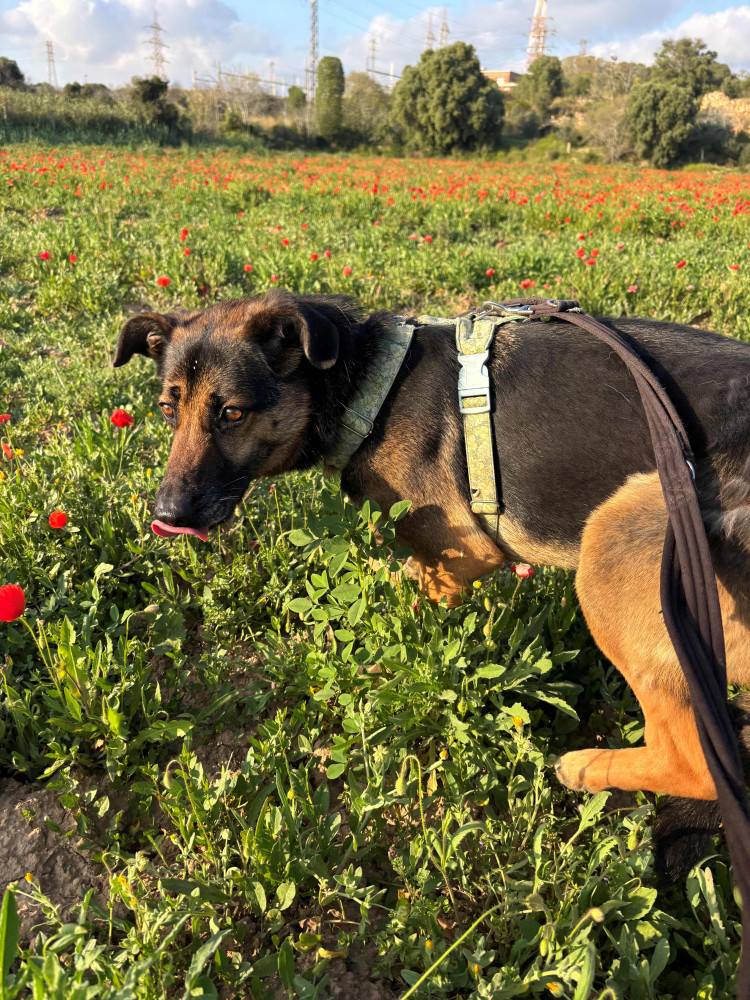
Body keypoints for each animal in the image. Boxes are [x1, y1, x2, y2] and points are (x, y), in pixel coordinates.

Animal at [113, 289, 750, 833]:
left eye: (232, 414)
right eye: (168, 409)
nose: (167, 515)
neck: (369, 383)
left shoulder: (459, 556)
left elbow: (408, 610)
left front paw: (370, 672)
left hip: (615, 535)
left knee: (693, 765)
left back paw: (589, 766)